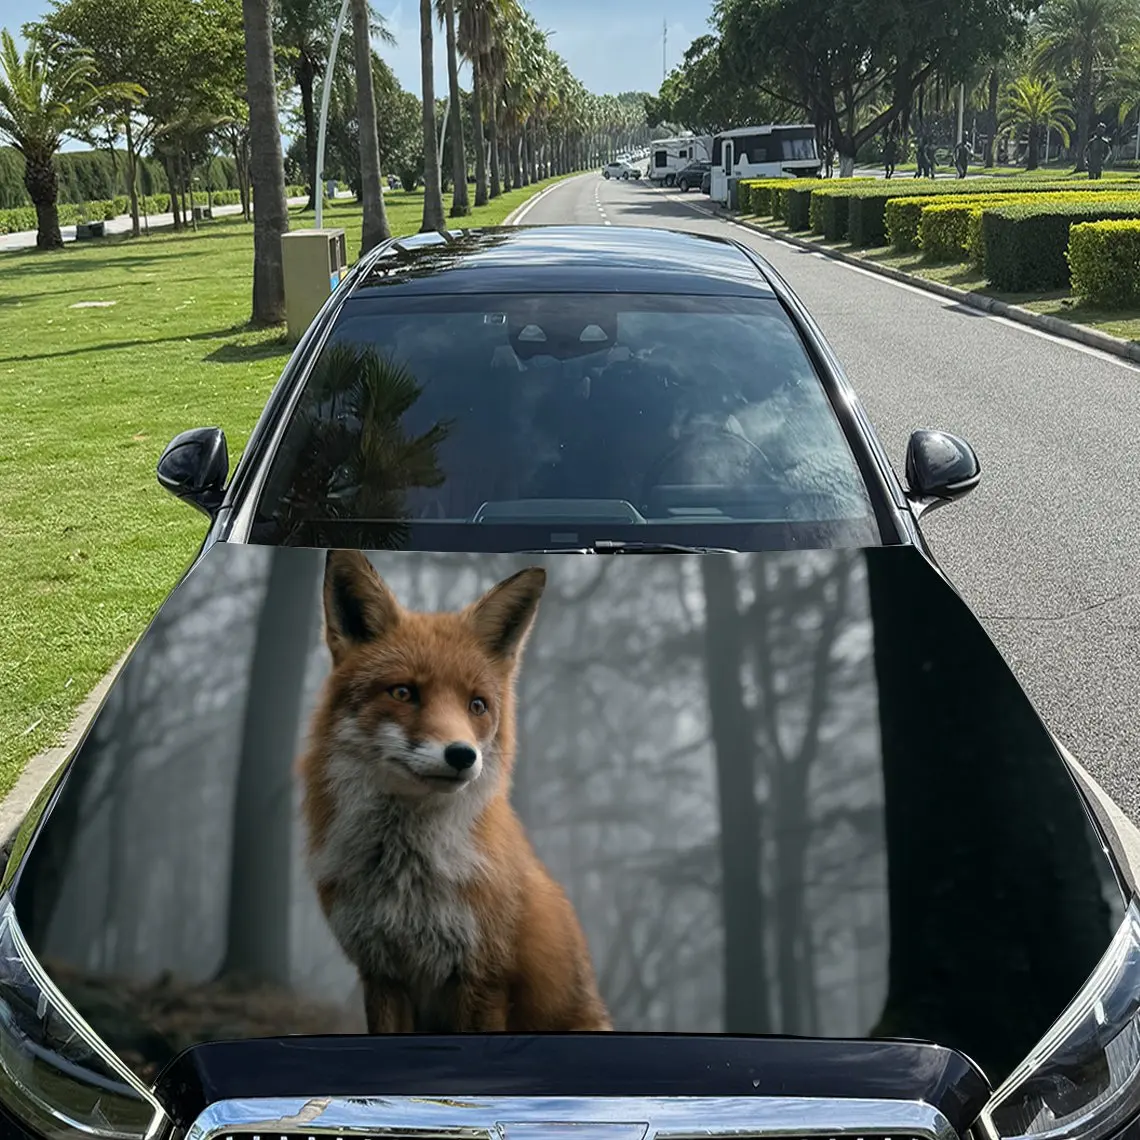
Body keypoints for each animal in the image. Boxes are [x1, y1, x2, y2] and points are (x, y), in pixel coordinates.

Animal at [298, 549, 612, 1034]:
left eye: (477, 705)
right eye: (403, 692)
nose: (463, 754)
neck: (407, 880)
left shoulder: (483, 978)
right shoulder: (381, 974)